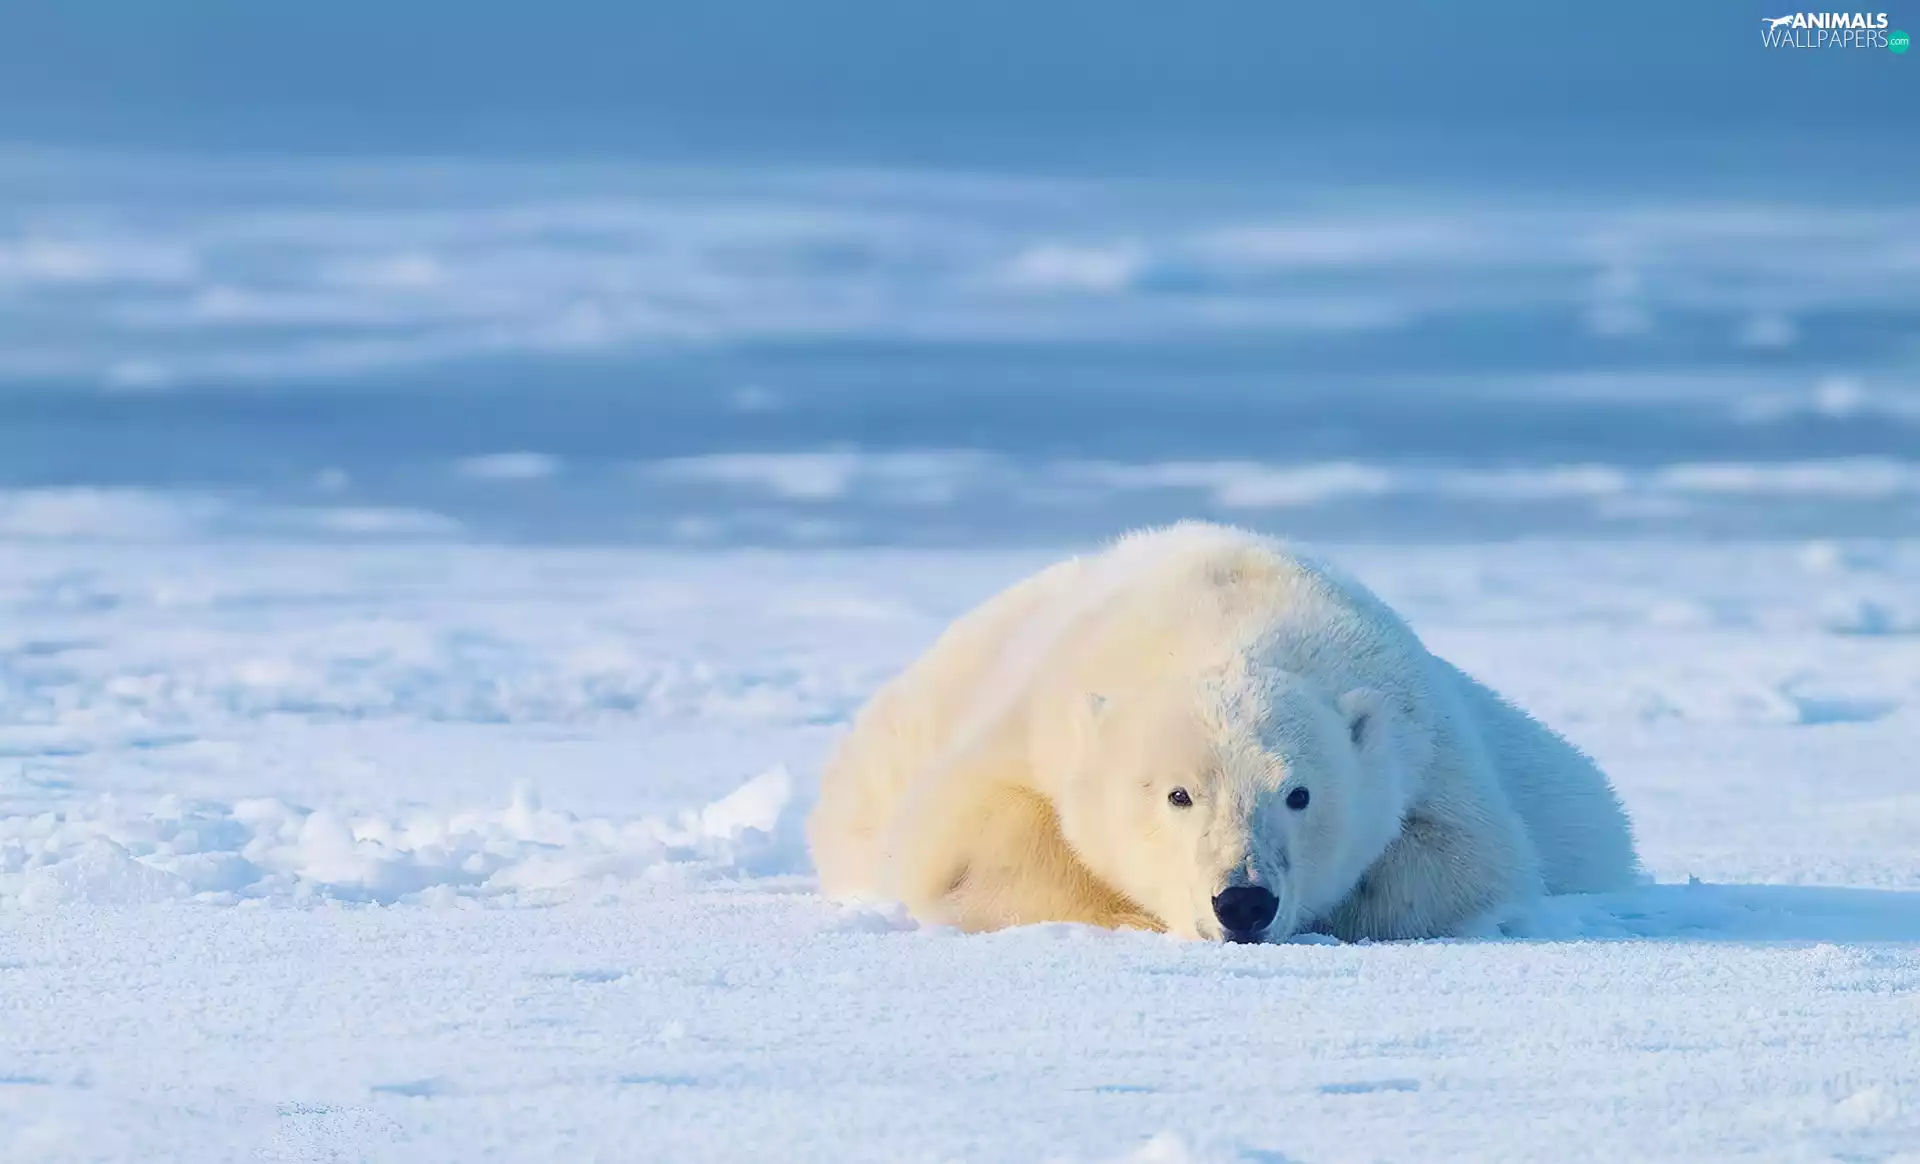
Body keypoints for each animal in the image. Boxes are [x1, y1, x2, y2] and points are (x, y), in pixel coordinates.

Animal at [807, 522, 1639, 942]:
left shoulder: (1424, 745)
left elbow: (1463, 862)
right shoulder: (1038, 718)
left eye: (1299, 794)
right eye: (1178, 794)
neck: (1226, 621)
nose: (1243, 903)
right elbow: (964, 845)